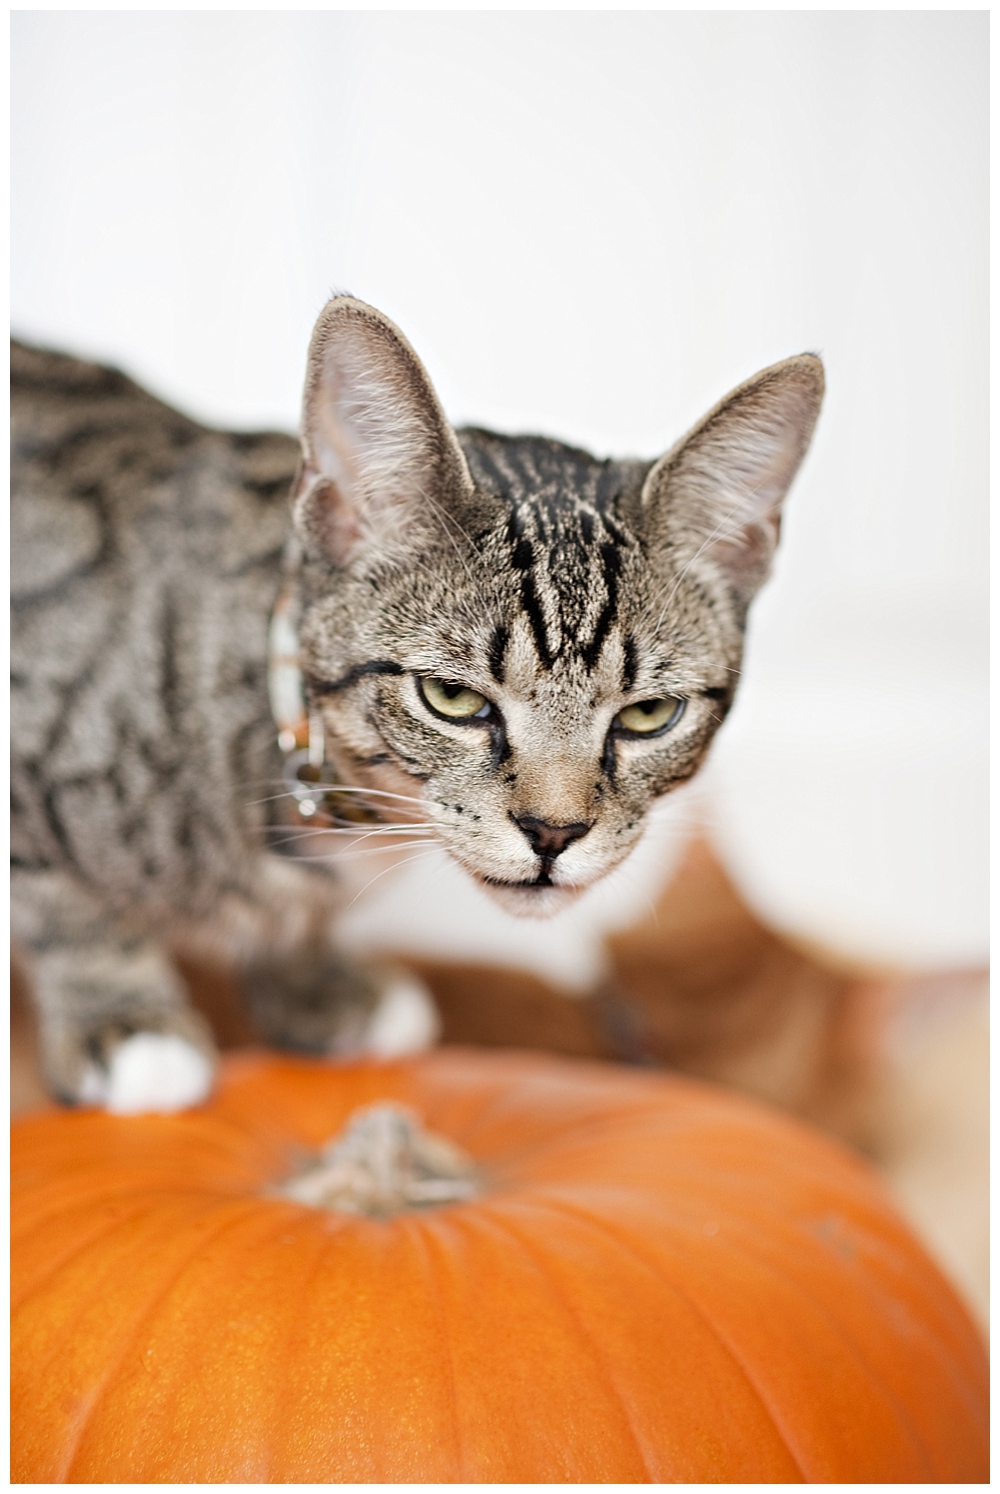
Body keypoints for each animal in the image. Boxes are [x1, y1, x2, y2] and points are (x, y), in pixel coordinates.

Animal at [9, 294, 819, 1111]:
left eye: (649, 716)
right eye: (452, 697)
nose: (554, 833)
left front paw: (313, 981)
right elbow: (67, 908)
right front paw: (125, 1021)